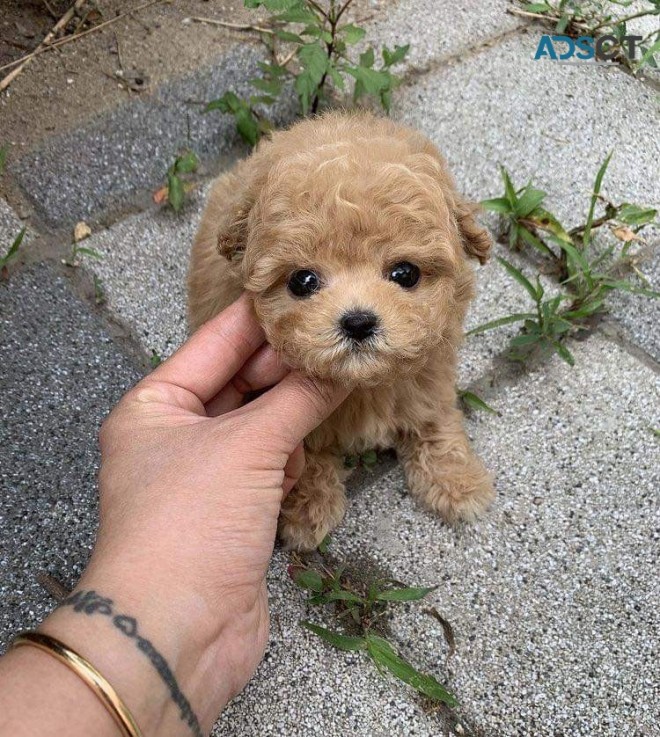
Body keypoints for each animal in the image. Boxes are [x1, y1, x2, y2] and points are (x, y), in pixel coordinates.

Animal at [188, 108, 492, 548]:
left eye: (405, 273)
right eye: (302, 281)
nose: (359, 321)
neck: (365, 385)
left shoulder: (429, 373)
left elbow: (434, 414)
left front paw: (457, 479)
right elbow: (306, 452)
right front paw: (308, 507)